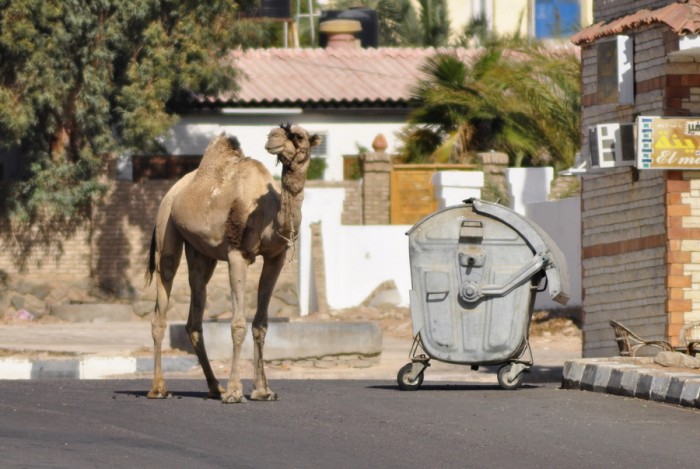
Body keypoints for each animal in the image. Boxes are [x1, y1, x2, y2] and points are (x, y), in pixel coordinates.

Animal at [148, 124, 322, 402]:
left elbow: (261, 324)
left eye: (299, 136)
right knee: (163, 292)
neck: (268, 215)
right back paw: (159, 388)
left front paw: (263, 390)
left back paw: (214, 387)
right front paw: (234, 391)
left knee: (195, 311)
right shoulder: (237, 255)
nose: (272, 137)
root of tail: (174, 189)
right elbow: (238, 324)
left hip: (201, 254)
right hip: (166, 225)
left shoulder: (275, 257)